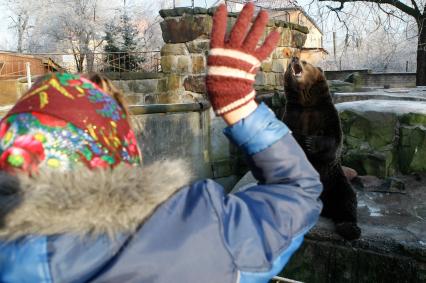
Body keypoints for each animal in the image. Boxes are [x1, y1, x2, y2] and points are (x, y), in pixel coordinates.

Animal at [282, 56, 362, 241]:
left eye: (304, 61)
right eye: (289, 64)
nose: (294, 58)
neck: (306, 103)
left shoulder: (326, 114)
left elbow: (334, 139)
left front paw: (310, 142)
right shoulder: (293, 115)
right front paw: (300, 139)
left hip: (334, 181)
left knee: (346, 200)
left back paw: (349, 228)